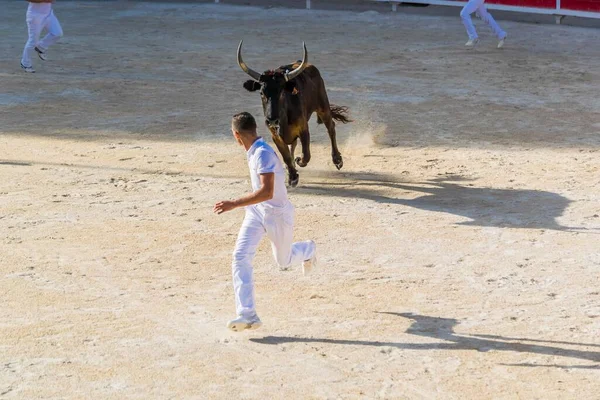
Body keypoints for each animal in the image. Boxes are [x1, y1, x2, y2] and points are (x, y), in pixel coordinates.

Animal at [238, 40, 352, 188]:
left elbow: (306, 154)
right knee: (293, 145)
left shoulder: (303, 128)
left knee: (330, 127)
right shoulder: (275, 135)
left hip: (323, 106)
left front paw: (298, 162)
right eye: (261, 93)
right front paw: (292, 176)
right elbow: (286, 155)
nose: (272, 120)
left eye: (281, 92)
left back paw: (337, 159)